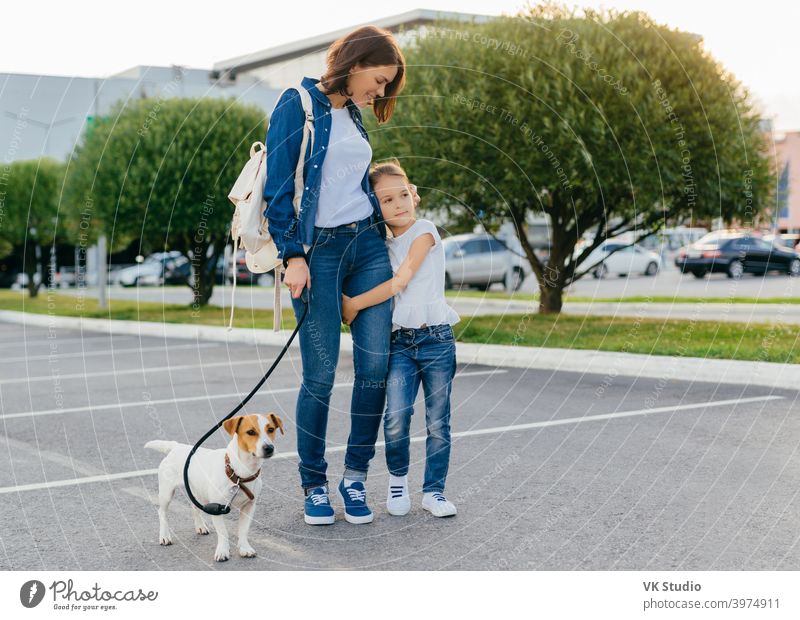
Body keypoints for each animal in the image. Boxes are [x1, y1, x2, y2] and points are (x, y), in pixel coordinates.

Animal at [144, 412, 284, 560]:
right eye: (250, 432)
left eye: (271, 429)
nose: (269, 448)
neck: (238, 472)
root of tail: (176, 447)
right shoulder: (217, 508)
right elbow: (223, 532)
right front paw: (223, 551)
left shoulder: (249, 506)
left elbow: (243, 530)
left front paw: (245, 548)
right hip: (166, 493)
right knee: (162, 512)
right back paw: (164, 536)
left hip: (197, 490)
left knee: (194, 507)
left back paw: (200, 526)